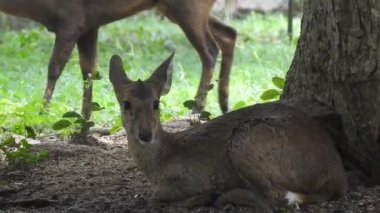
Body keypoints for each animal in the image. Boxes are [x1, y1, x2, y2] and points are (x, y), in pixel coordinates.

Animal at [0, 0, 238, 122]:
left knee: (210, 50)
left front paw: (42, 113)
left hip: (189, 8)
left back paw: (197, 107)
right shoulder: (89, 25)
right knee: (229, 34)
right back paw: (224, 103)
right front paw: (84, 119)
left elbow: (55, 68)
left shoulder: (72, 20)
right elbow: (89, 71)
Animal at [107, 53, 348, 211]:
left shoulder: (195, 178)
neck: (161, 162)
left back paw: (223, 198)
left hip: (247, 138)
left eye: (156, 103)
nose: (145, 134)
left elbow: (156, 198)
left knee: (275, 201)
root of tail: (337, 177)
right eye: (125, 104)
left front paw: (203, 197)